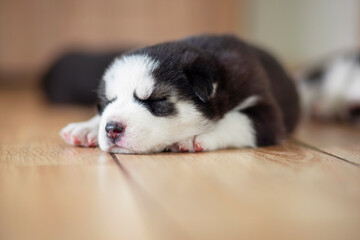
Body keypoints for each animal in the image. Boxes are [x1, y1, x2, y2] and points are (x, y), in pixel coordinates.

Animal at [59, 33, 300, 154]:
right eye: (107, 102)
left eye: (156, 100)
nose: (112, 129)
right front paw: (86, 128)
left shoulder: (267, 113)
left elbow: (237, 120)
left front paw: (194, 137)